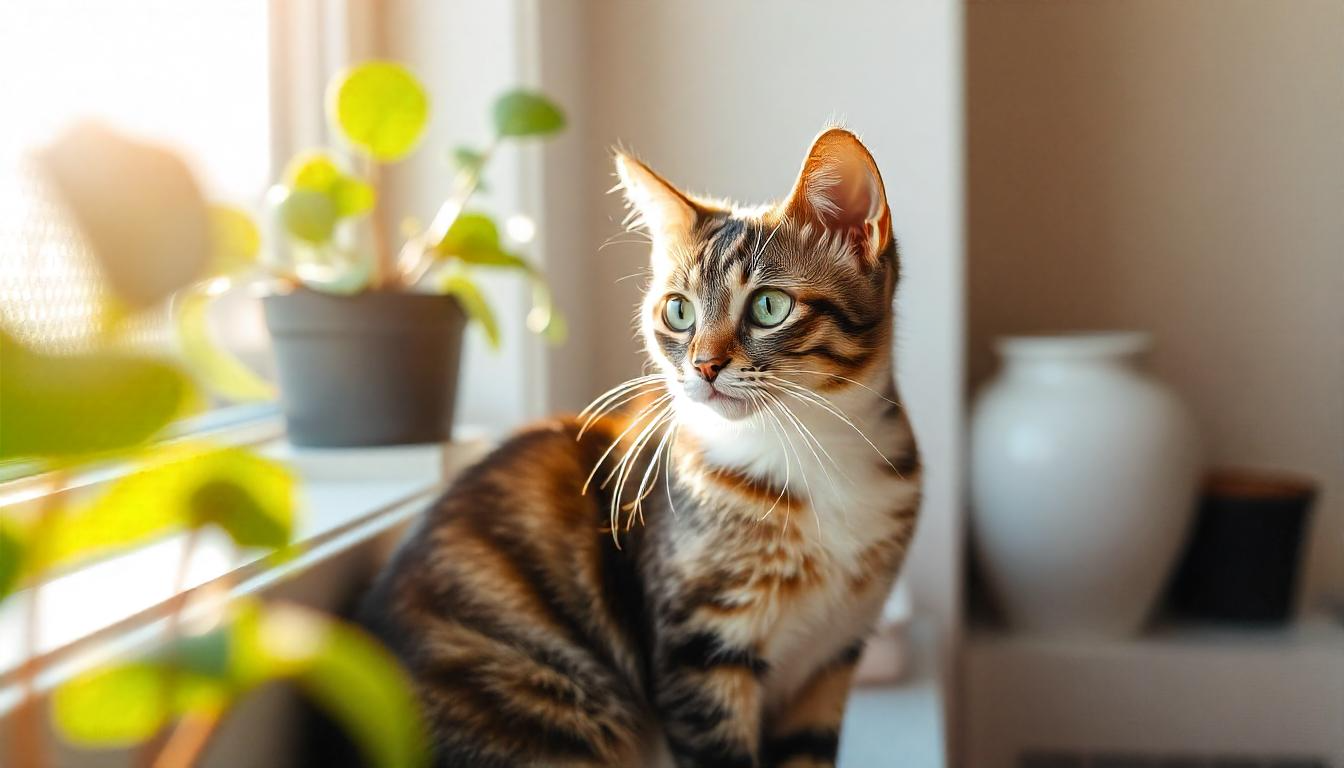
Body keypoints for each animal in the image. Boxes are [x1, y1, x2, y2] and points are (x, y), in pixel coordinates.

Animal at [362, 129, 919, 763]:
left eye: (769, 306)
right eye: (678, 311)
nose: (704, 365)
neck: (811, 451)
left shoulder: (833, 655)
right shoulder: (698, 651)